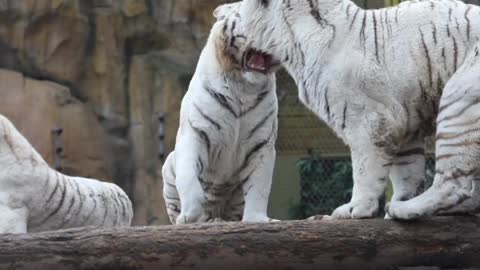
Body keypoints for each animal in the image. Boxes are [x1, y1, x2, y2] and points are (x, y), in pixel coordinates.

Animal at [163, 3, 280, 225]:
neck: (244, 86)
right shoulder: (195, 132)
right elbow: (188, 176)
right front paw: (189, 216)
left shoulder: (261, 143)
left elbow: (259, 186)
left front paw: (257, 219)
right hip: (168, 166)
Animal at [237, 0, 480, 219]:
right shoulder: (404, 121)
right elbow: (406, 171)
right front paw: (397, 201)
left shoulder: (367, 119)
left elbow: (365, 168)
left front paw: (357, 208)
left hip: (459, 100)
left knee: (453, 184)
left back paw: (407, 209)